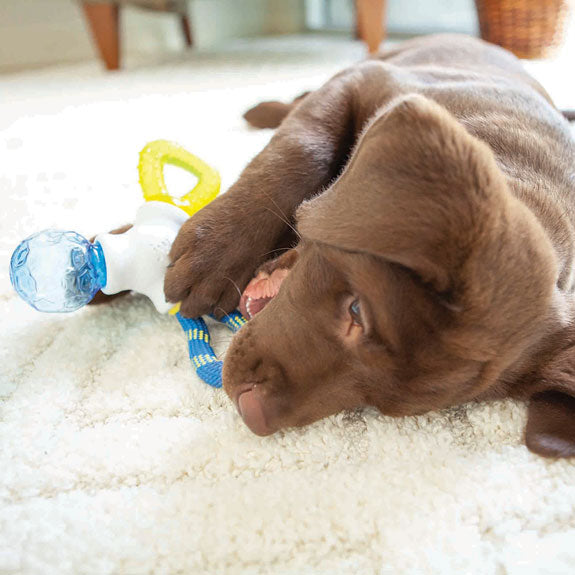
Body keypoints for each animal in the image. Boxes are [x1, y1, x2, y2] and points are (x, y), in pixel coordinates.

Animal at [163, 35, 575, 460]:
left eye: (381, 403)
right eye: (356, 310)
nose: (252, 415)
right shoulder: (361, 82)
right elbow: (304, 146)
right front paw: (215, 254)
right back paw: (263, 110)